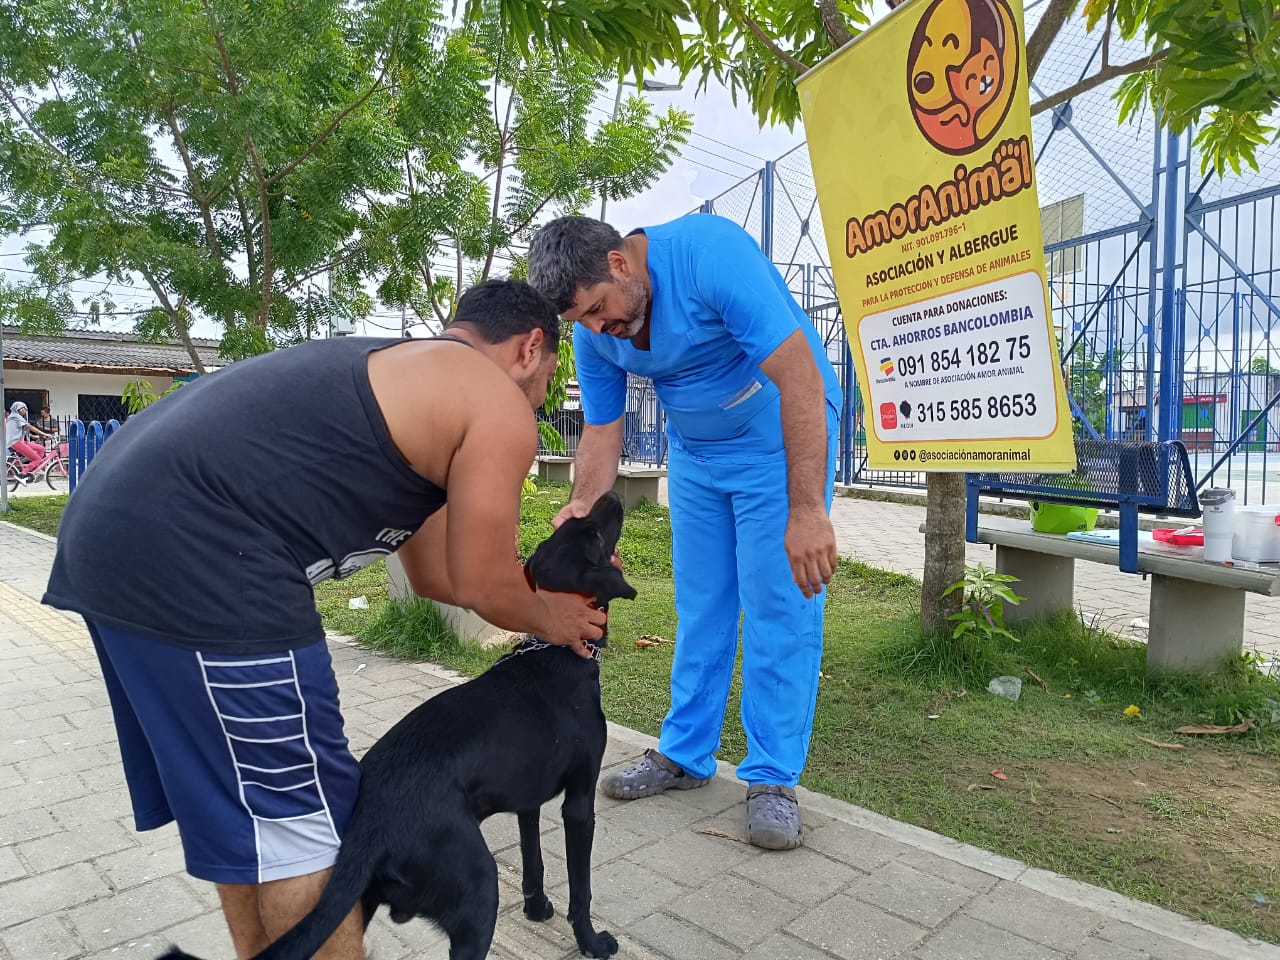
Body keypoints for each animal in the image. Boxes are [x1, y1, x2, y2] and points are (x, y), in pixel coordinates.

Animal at [162, 496, 637, 960]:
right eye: (594, 535)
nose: (612, 496)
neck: (554, 648)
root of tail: (371, 822)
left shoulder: (527, 803)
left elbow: (533, 864)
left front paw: (537, 909)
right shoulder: (579, 804)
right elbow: (581, 890)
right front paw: (592, 942)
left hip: (356, 904)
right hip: (476, 890)